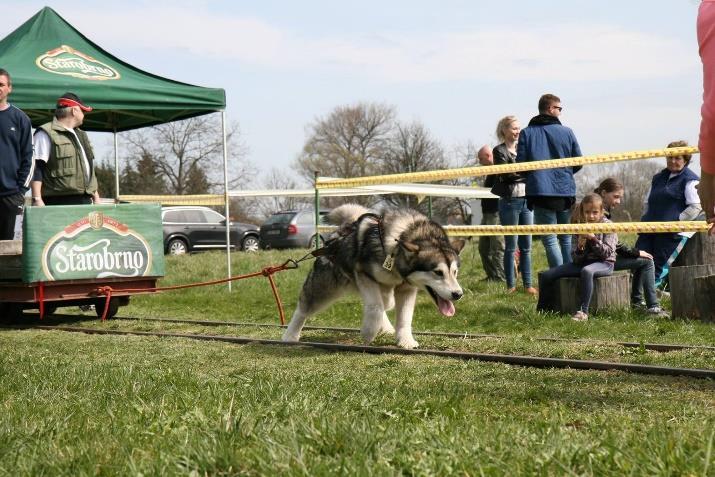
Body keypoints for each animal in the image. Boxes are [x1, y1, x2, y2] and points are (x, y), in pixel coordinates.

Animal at [282, 203, 468, 348]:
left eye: (454, 272)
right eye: (438, 272)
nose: (458, 294)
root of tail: (339, 234)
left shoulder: (406, 288)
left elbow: (404, 317)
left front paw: (405, 340)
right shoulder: (364, 275)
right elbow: (375, 307)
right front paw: (368, 332)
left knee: (386, 302)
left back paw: (386, 327)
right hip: (324, 288)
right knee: (303, 308)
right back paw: (290, 335)